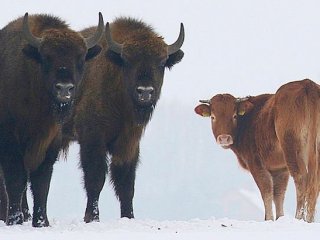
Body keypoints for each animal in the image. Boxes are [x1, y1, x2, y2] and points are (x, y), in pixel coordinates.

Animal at [0, 12, 104, 227]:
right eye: (46, 57)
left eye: (80, 58)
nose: (64, 88)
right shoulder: (10, 141)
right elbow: (16, 180)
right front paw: (14, 220)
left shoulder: (50, 143)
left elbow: (41, 182)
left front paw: (41, 222)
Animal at [62, 17, 184, 223]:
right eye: (128, 61)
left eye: (161, 62)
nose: (145, 92)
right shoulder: (92, 139)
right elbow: (96, 178)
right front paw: (92, 218)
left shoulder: (129, 143)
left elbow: (126, 183)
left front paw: (129, 217)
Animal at [194, 79, 320, 223]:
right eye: (213, 117)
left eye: (234, 115)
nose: (224, 138)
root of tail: (307, 84)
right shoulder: (280, 169)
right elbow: (278, 194)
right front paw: (280, 218)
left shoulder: (256, 164)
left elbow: (266, 191)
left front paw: (268, 219)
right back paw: (309, 219)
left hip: (292, 148)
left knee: (301, 177)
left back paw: (299, 218)